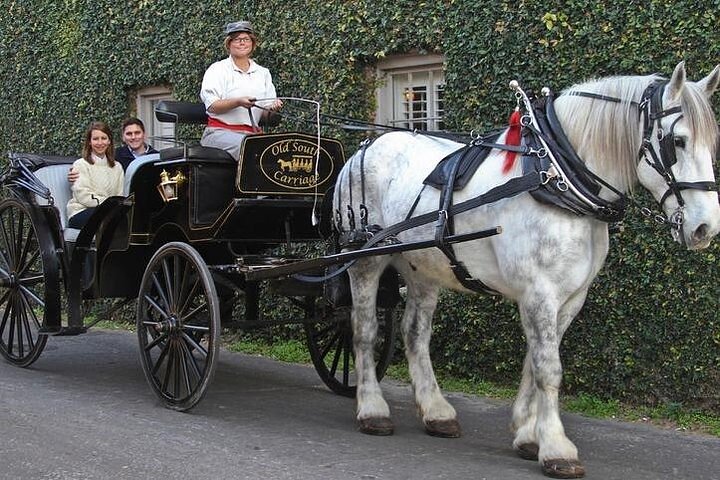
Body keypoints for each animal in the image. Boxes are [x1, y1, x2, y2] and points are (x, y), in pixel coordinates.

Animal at [331, 62, 720, 478]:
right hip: (365, 259)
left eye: (712, 143)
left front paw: (528, 433)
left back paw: (436, 412)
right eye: (677, 141)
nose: (705, 227)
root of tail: (365, 148)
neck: (554, 176)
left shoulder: (570, 297)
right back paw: (372, 409)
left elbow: (535, 362)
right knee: (364, 330)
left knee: (415, 334)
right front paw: (556, 448)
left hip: (423, 265)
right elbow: (548, 367)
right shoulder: (539, 292)